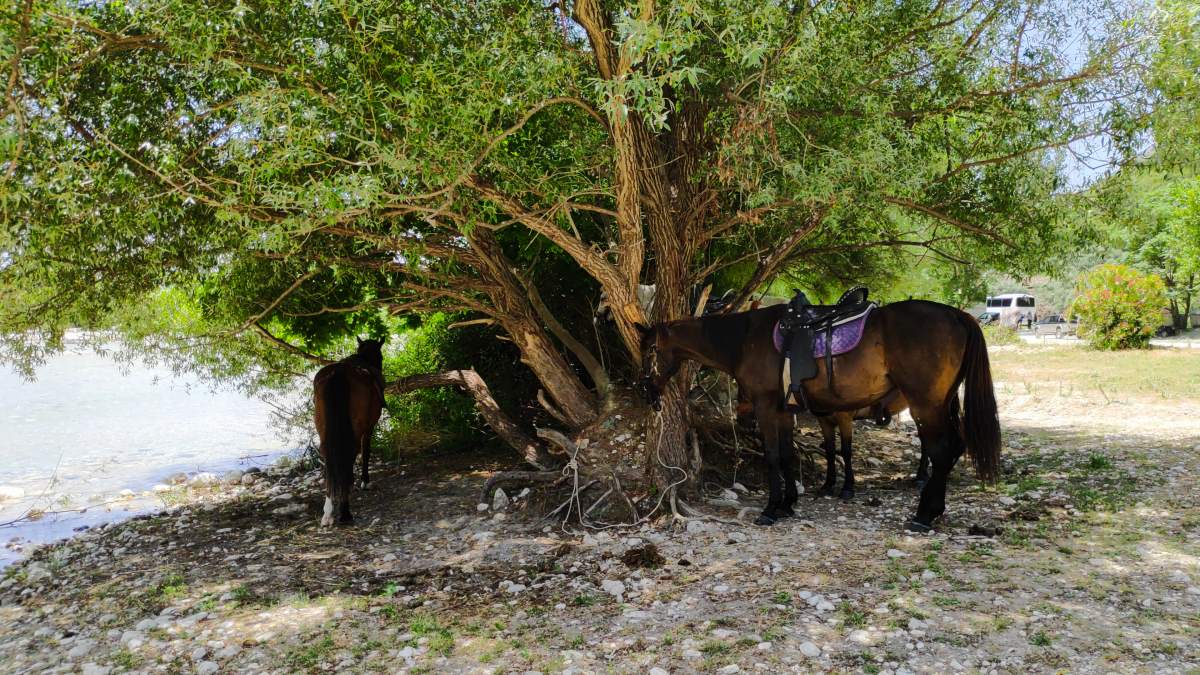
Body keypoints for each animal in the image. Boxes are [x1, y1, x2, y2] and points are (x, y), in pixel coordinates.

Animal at [314, 336, 384, 526]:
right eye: (381, 357)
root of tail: (338, 373)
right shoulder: (369, 427)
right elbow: (366, 452)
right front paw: (365, 481)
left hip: (323, 429)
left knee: (328, 455)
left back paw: (328, 511)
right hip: (357, 428)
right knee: (350, 453)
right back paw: (345, 511)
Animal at [638, 295, 1003, 530]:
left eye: (651, 349)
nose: (645, 389)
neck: (744, 339)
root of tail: (957, 315)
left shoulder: (767, 408)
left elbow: (773, 456)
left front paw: (770, 509)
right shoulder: (784, 411)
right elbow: (788, 456)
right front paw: (788, 504)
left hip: (925, 404)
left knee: (941, 450)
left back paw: (924, 515)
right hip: (940, 403)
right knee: (951, 448)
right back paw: (933, 510)